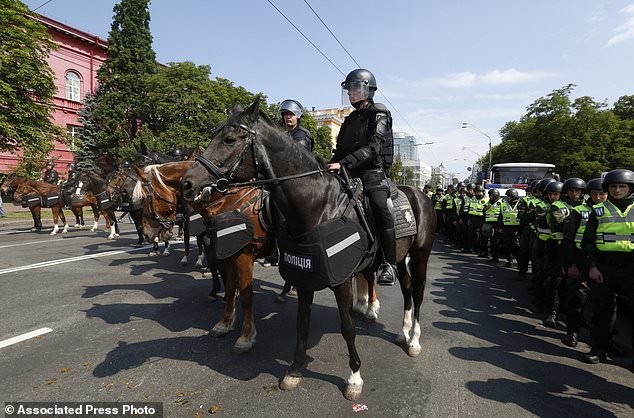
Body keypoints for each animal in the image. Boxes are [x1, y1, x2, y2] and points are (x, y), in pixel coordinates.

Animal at [180, 99, 432, 400]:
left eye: (229, 139)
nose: (187, 184)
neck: (319, 206)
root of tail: (418, 193)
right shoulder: (303, 276)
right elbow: (300, 322)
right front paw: (294, 370)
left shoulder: (338, 279)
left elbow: (347, 328)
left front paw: (354, 378)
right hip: (399, 257)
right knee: (404, 289)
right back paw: (402, 331)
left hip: (420, 256)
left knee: (416, 293)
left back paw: (412, 339)